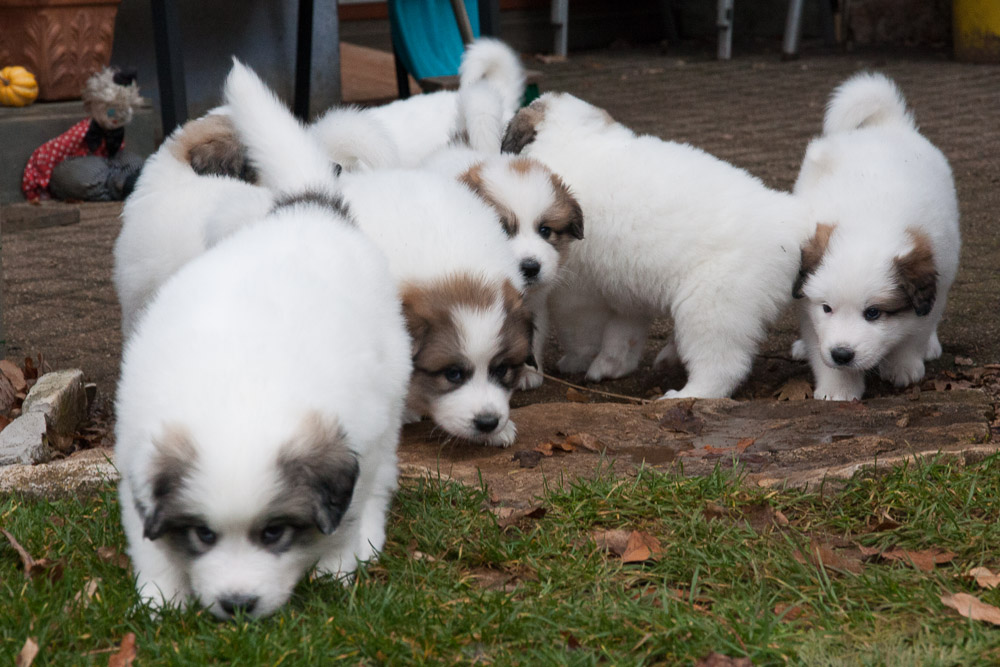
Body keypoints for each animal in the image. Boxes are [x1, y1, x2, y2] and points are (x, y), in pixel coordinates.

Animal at [115, 62, 412, 620]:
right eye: (203, 534)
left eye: (274, 532)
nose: (238, 606)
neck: (237, 398)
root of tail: (307, 208)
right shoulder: (136, 456)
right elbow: (149, 540)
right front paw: (162, 599)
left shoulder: (353, 447)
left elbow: (345, 518)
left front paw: (337, 568)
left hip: (390, 397)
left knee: (383, 474)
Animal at [504, 91, 816, 400]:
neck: (575, 139)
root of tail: (795, 220)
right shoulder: (626, 291)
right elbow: (623, 334)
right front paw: (610, 367)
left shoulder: (575, 293)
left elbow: (580, 334)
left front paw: (575, 362)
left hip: (712, 307)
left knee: (721, 366)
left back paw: (683, 394)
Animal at [788, 72, 960, 402]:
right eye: (827, 308)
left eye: (873, 313)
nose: (842, 354)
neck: (868, 223)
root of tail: (887, 126)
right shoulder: (809, 308)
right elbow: (818, 340)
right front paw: (838, 389)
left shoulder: (931, 284)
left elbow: (914, 333)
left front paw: (903, 367)